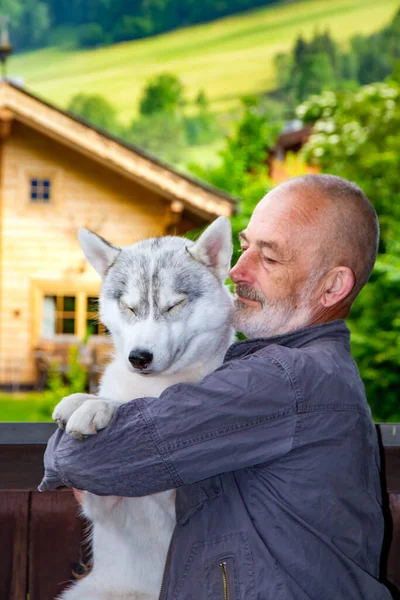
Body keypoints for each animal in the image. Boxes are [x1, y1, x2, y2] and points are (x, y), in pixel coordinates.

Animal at [53, 218, 234, 600]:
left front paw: (98, 407)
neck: (156, 388)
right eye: (130, 307)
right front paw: (81, 400)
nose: (138, 357)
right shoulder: (104, 505)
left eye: (174, 305)